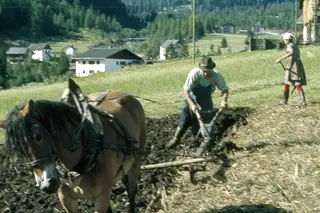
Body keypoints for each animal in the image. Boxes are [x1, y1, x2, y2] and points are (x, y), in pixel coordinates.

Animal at [0, 78, 147, 213]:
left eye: (38, 136)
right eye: (17, 148)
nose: (47, 185)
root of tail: (124, 94)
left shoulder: (102, 198)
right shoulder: (66, 199)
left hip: (135, 164)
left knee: (131, 192)